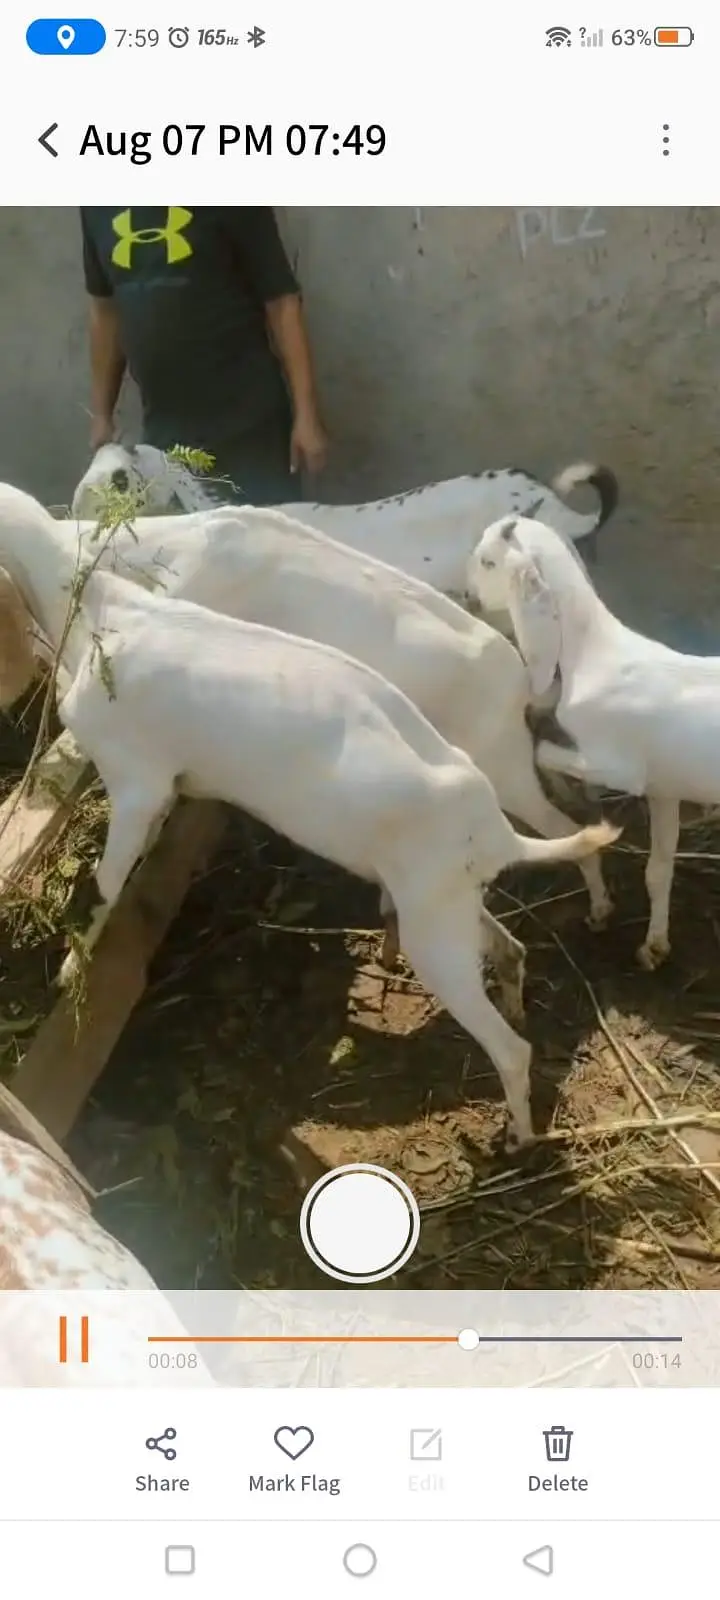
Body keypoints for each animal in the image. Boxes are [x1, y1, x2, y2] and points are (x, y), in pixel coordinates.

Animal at [2, 546, 617, 1149]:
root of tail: (493, 829)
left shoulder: (136, 779)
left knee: (511, 1048)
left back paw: (519, 1137)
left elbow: (106, 885)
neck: (99, 609)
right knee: (510, 950)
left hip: (437, 933)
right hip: (446, 902)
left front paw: (68, 974)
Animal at [471, 511, 720, 972]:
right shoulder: (663, 788)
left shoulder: (623, 769)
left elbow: (542, 753)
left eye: (487, 561)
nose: (470, 596)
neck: (592, 654)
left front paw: (572, 791)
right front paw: (654, 946)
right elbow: (658, 869)